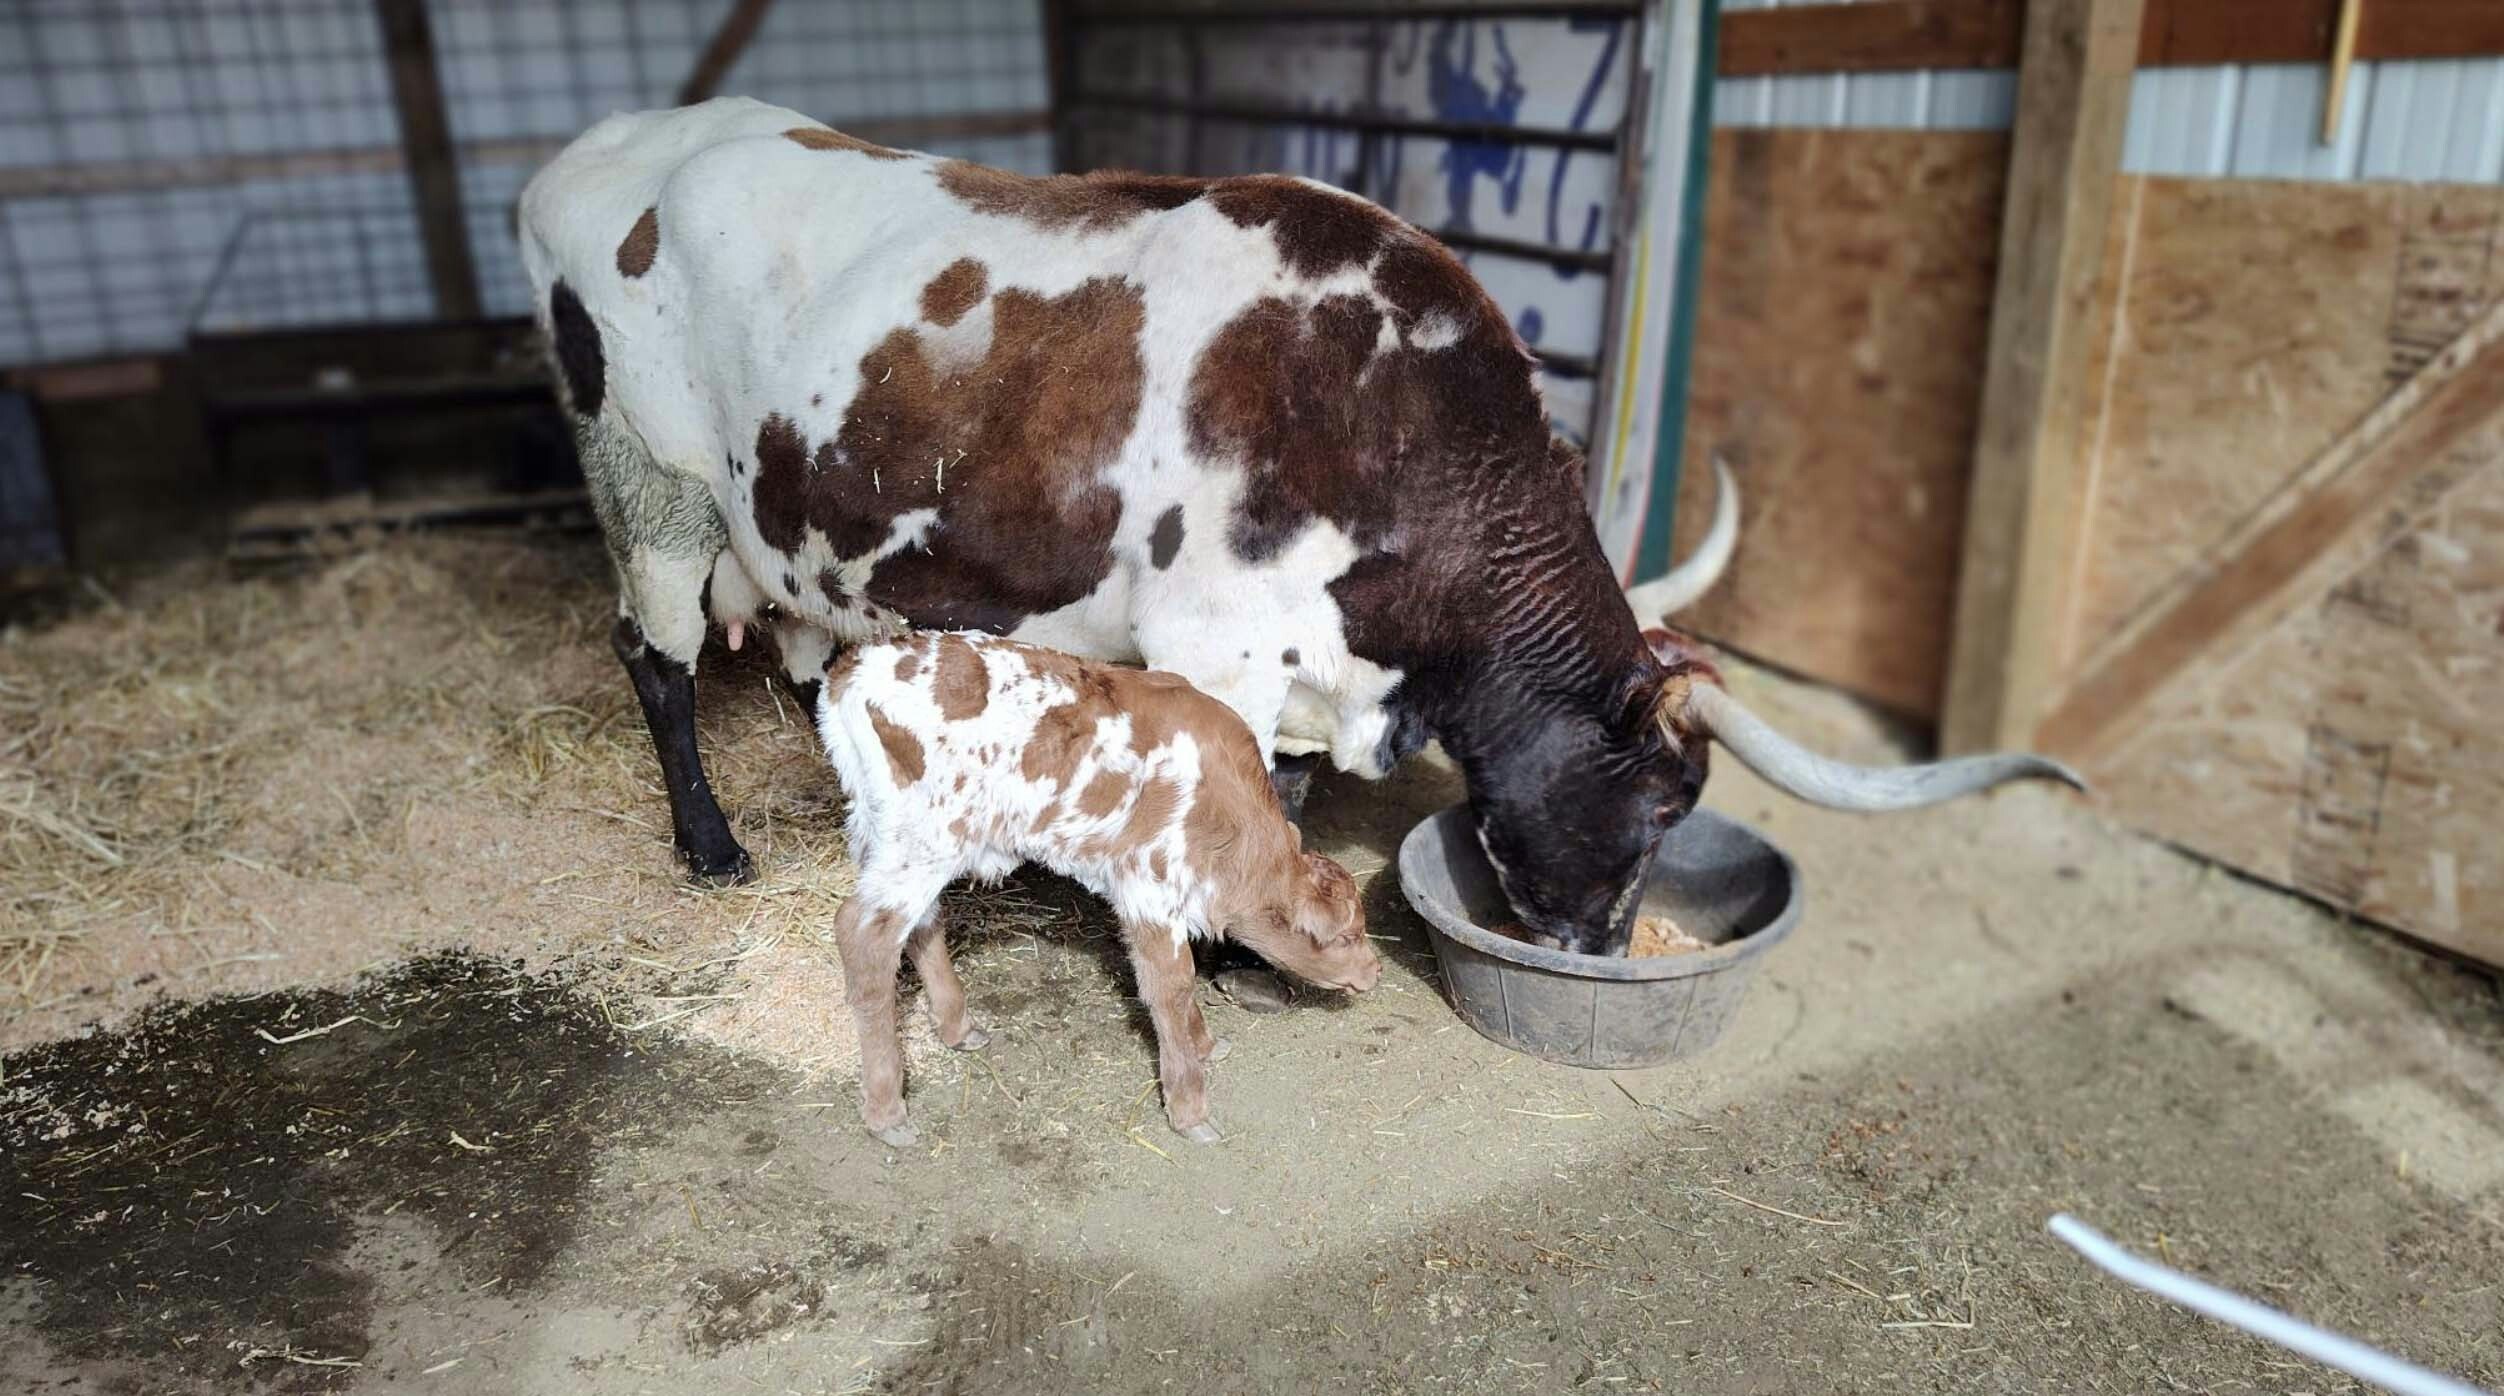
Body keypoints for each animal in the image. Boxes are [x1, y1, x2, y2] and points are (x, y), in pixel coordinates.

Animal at [516, 97, 2077, 960]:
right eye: (1657, 807)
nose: (1599, 943)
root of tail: (599, 154)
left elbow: (1293, 794)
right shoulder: (1211, 646)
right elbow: (1227, 794)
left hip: (784, 524)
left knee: (805, 651)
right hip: (648, 487)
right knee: (654, 661)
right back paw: (711, 846)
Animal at [815, 629, 1380, 1146]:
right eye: (1345, 937)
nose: (1373, 971)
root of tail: (856, 665)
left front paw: (1201, 1043)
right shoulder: (1147, 886)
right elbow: (1171, 986)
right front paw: (1189, 1106)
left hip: (887, 834)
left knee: (920, 922)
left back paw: (957, 1027)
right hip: (923, 839)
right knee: (863, 934)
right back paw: (887, 1110)